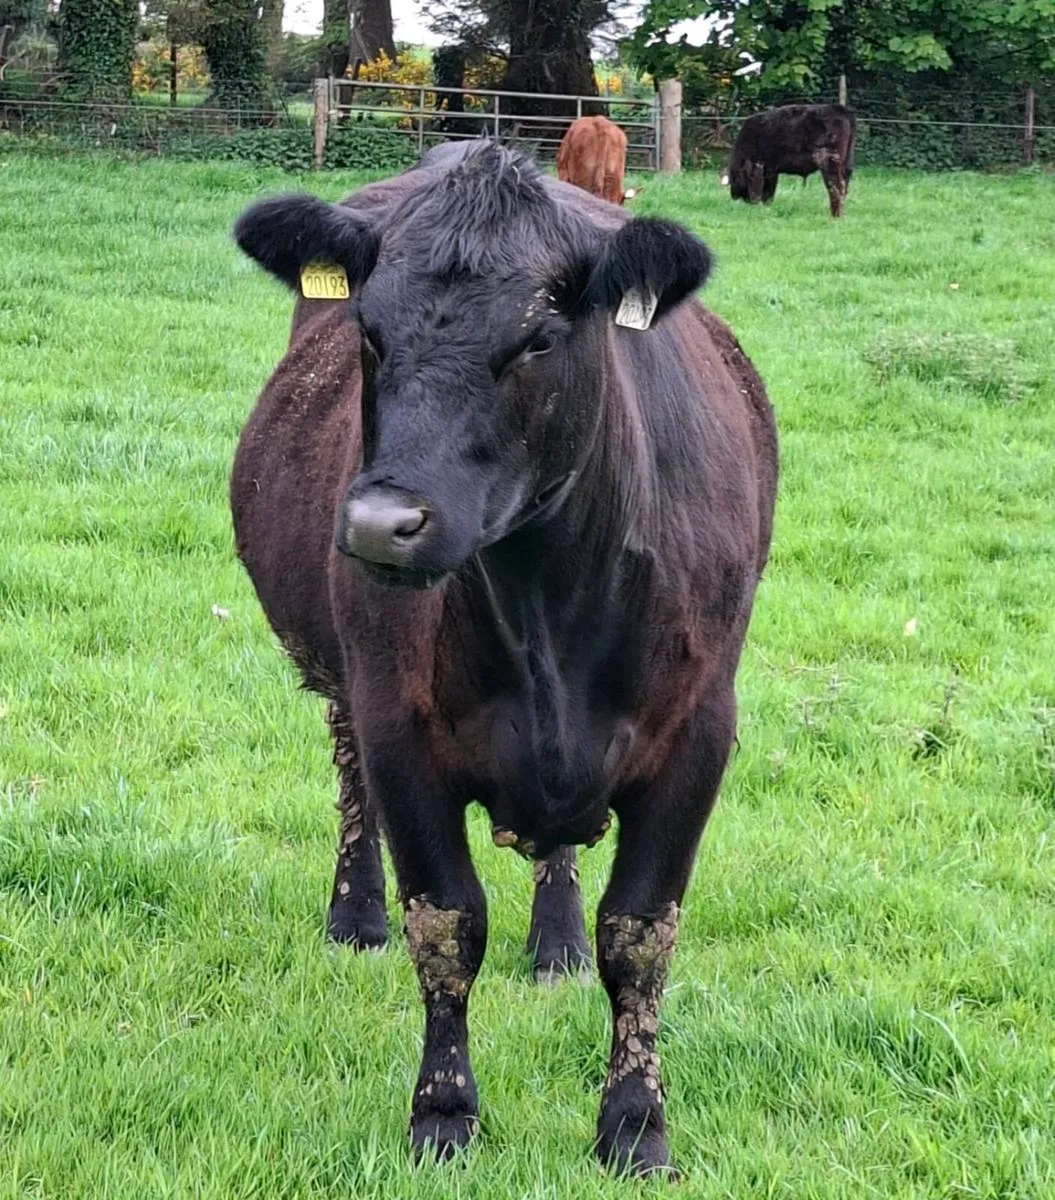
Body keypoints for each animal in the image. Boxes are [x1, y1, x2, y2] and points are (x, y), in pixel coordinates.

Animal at [230, 140, 778, 1177]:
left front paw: (634, 1126)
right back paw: (354, 915)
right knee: (349, 776)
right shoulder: (400, 726)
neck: (546, 601)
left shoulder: (699, 733)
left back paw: (554, 942)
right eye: (367, 331)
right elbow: (446, 923)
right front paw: (443, 1114)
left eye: (536, 341)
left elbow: (638, 936)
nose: (381, 523)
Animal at [728, 102, 856, 217]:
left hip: (828, 162)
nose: (734, 195)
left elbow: (767, 193)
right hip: (845, 164)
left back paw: (835, 215)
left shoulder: (767, 170)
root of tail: (839, 109)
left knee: (835, 186)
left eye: (735, 176)